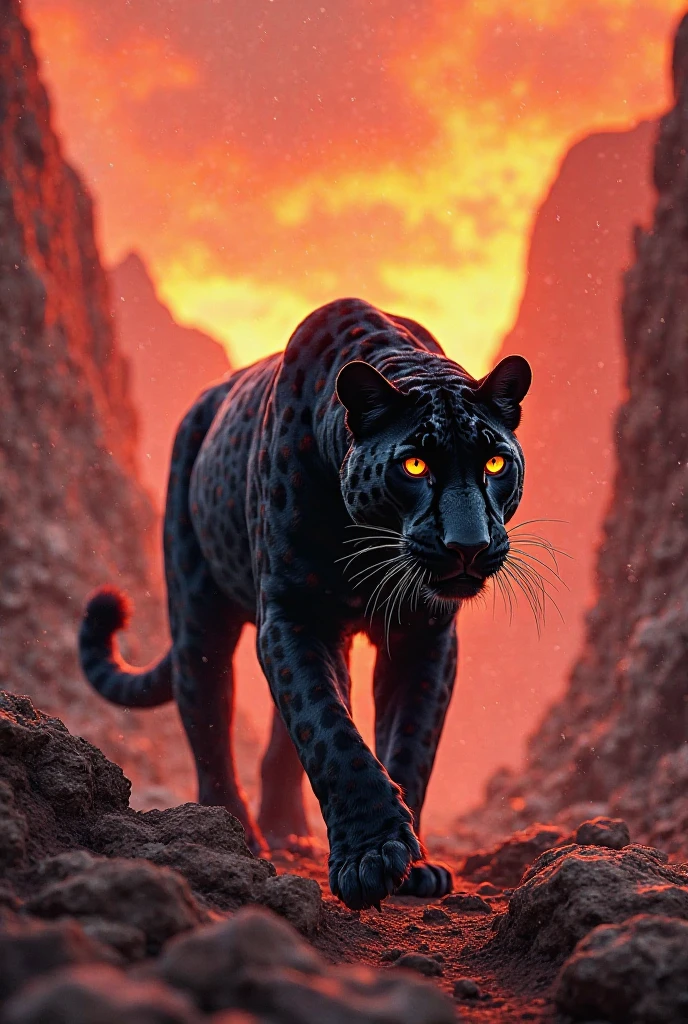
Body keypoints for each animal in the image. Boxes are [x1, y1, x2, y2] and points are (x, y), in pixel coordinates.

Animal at [78, 297, 531, 911]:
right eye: (414, 465)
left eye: (494, 464)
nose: (468, 544)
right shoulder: (293, 616)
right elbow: (328, 730)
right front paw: (370, 858)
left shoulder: (425, 633)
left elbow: (410, 740)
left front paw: (414, 865)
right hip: (199, 612)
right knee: (208, 719)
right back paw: (235, 833)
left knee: (277, 738)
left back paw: (287, 830)